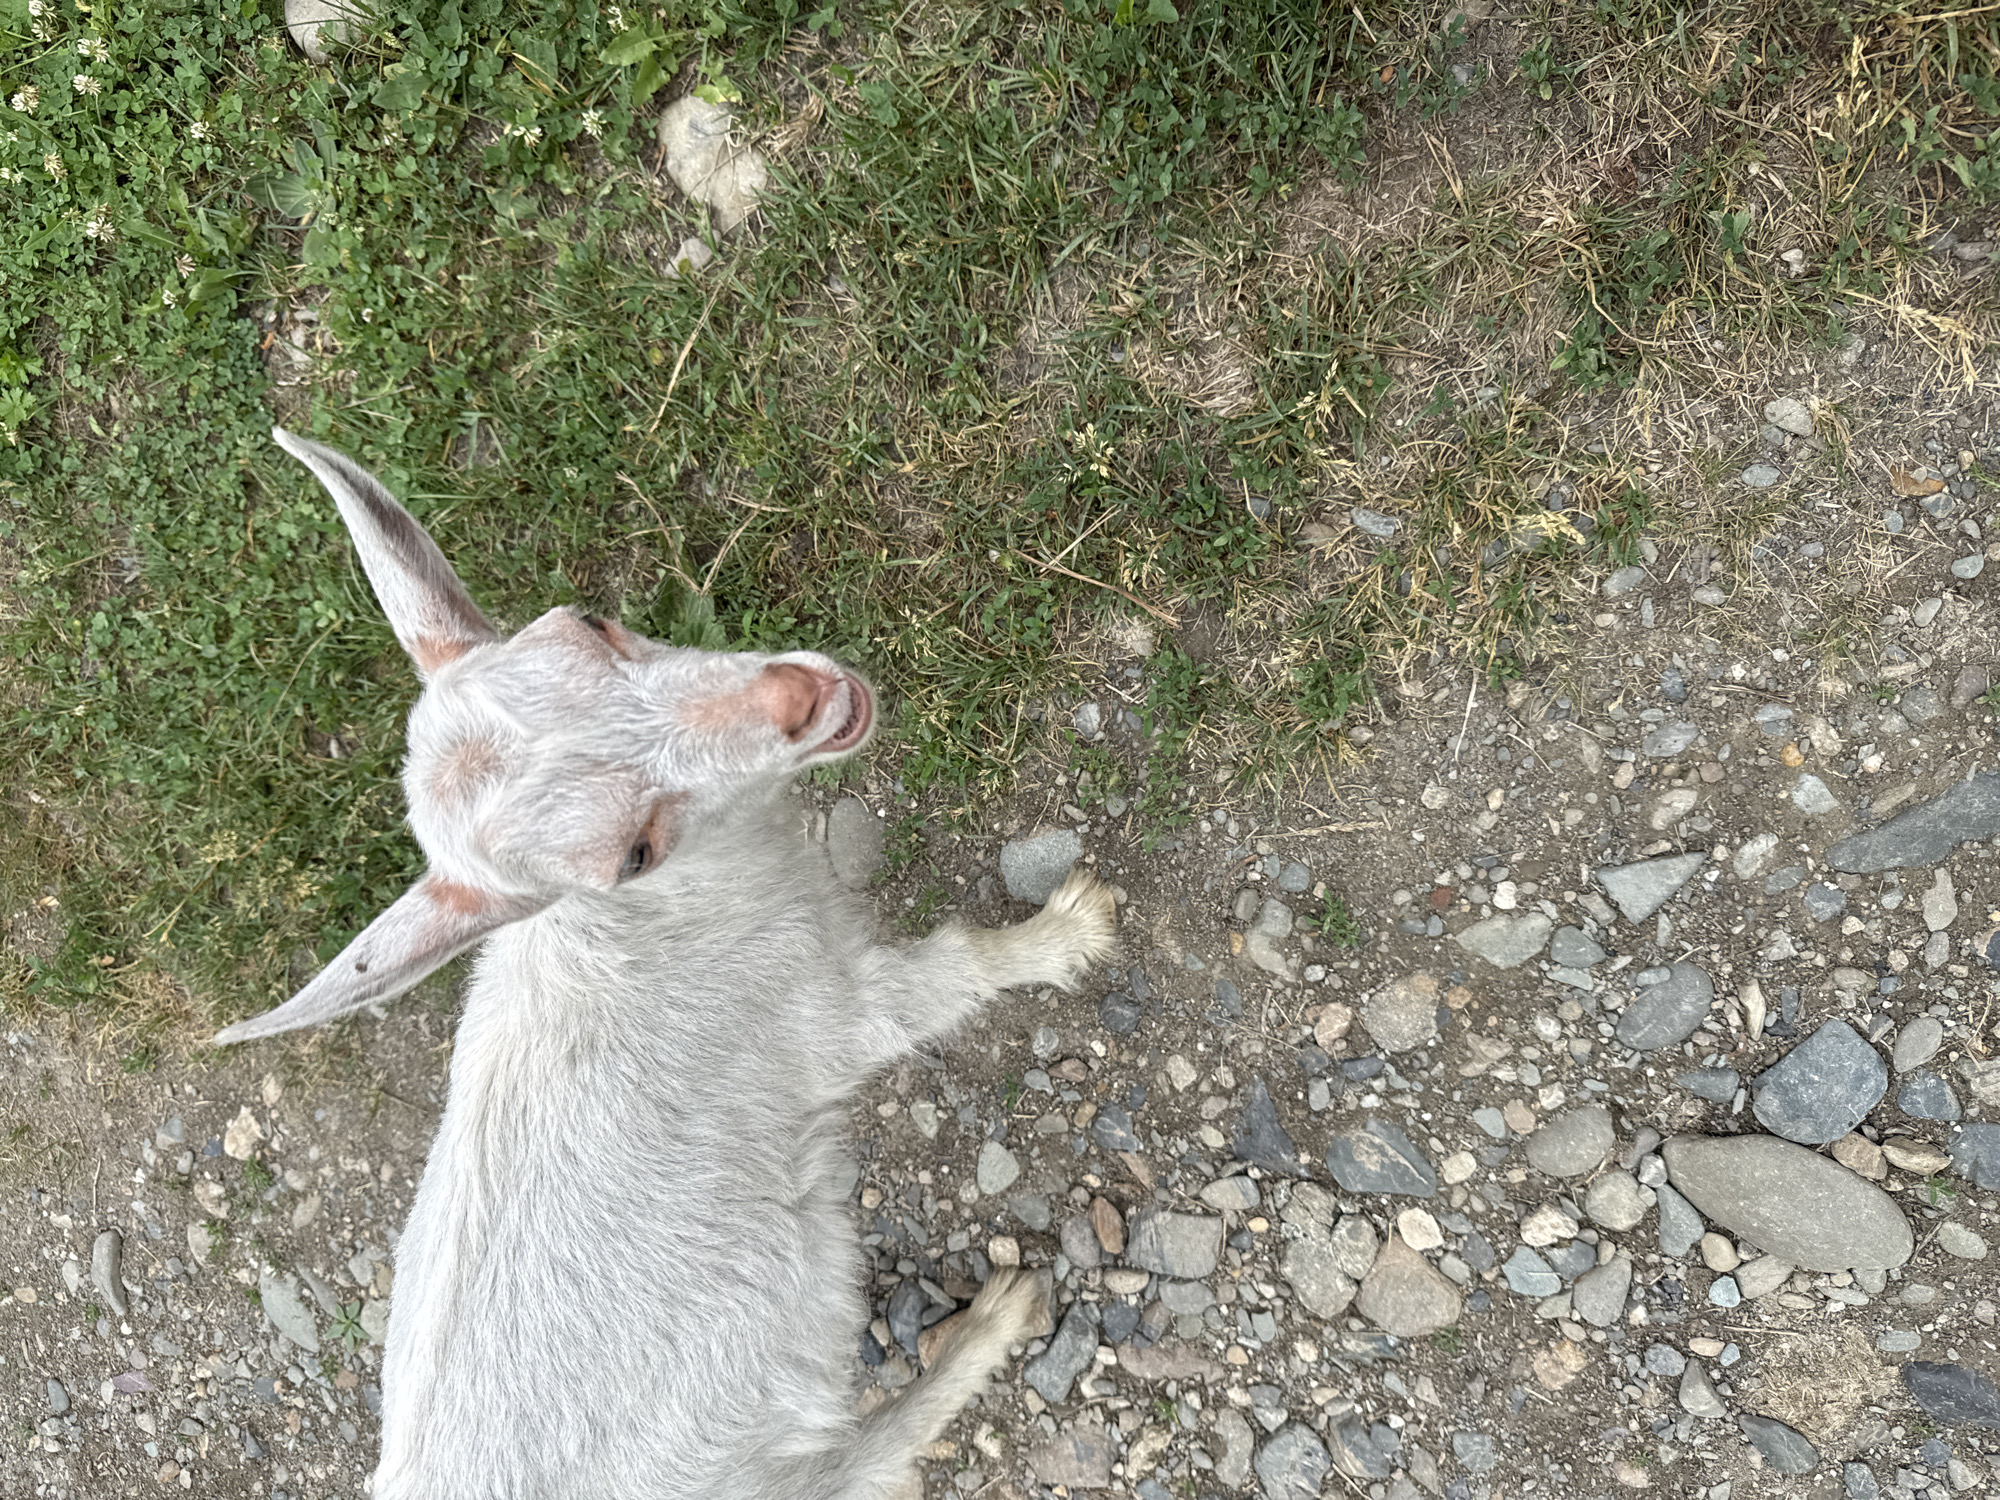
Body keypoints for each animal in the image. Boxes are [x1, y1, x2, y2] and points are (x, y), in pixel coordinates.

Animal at [215, 429, 1119, 1499]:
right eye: (631, 854)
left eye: (592, 620)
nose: (795, 698)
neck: (634, 921)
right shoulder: (823, 1008)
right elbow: (954, 971)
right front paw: (1070, 930)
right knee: (867, 1461)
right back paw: (997, 1320)